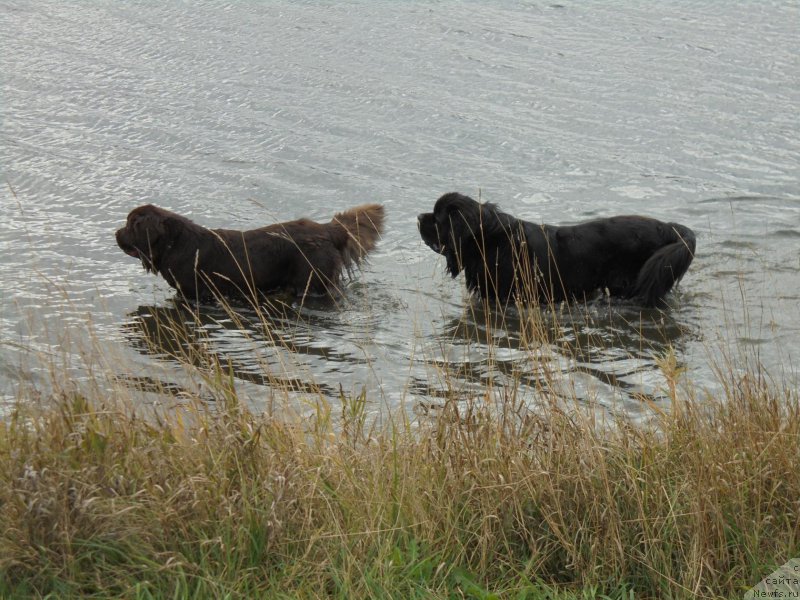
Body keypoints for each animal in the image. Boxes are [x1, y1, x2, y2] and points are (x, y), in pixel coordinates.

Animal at [115, 203, 384, 300]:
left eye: (130, 225)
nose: (115, 233)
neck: (176, 243)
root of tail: (328, 230)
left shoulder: (195, 293)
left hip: (311, 281)